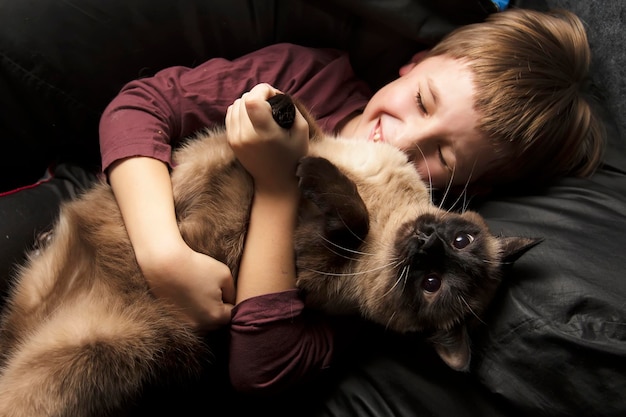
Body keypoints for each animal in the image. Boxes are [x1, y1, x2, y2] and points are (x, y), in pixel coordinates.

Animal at [0, 95, 536, 416]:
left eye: (431, 284)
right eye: (462, 242)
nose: (427, 245)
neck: (391, 219)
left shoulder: (316, 266)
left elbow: (349, 212)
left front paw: (309, 173)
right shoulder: (327, 140)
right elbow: (304, 121)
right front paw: (277, 112)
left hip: (70, 364)